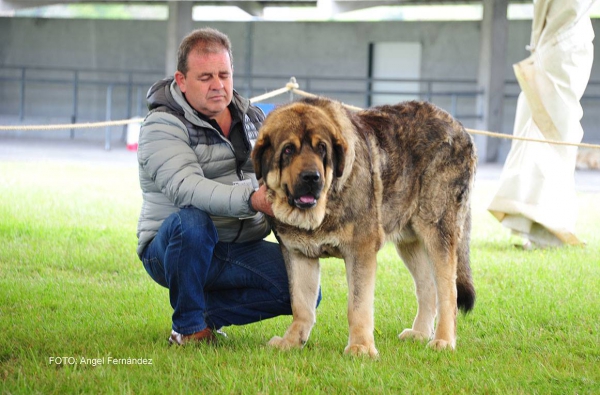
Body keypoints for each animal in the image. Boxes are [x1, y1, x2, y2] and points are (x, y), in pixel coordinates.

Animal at [251, 97, 476, 358]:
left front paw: (361, 347)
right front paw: (292, 341)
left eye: (322, 149)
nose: (311, 177)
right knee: (427, 287)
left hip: (437, 230)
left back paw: (443, 340)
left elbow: (357, 305)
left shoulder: (360, 251)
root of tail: (460, 128)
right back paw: (420, 333)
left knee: (448, 292)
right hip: (409, 241)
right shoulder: (298, 254)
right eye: (288, 150)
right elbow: (301, 304)